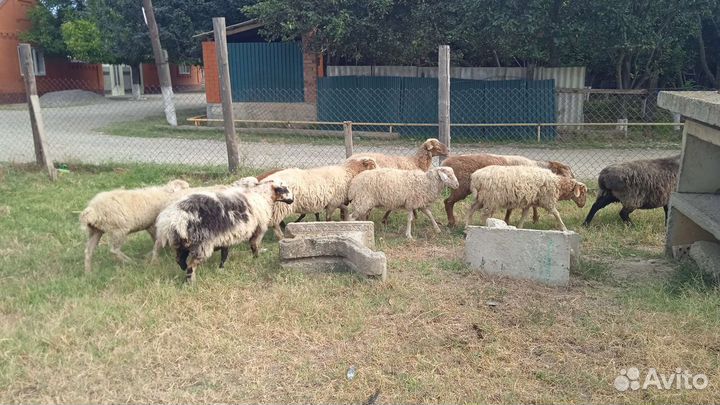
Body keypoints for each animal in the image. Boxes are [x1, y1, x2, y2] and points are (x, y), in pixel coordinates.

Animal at [154, 180, 294, 282]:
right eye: (285, 189)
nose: (292, 200)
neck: (262, 195)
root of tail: (173, 220)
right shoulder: (259, 228)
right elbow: (254, 245)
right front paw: (256, 258)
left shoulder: (226, 236)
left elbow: (225, 253)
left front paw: (221, 268)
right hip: (201, 244)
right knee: (191, 265)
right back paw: (190, 282)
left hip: (181, 243)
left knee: (179, 259)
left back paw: (183, 270)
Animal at [441, 153, 575, 227]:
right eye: (565, 174)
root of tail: (446, 162)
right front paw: (535, 218)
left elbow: (516, 208)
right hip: (461, 187)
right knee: (448, 202)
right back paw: (451, 222)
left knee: (448, 202)